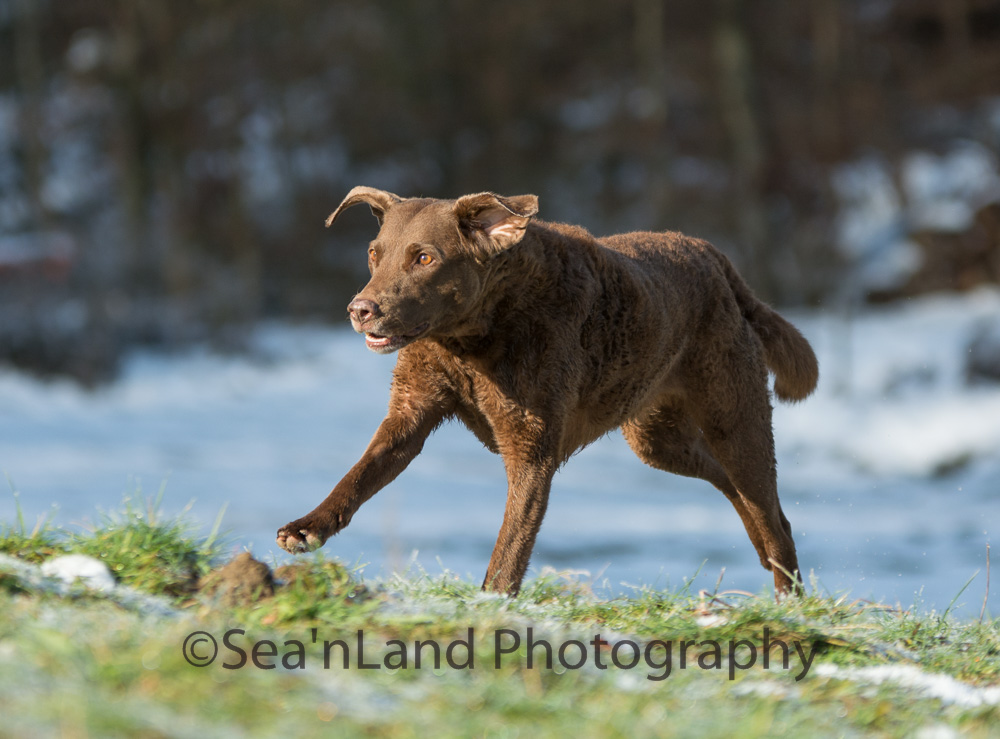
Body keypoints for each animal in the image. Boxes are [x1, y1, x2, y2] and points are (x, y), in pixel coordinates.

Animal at [276, 188, 820, 600]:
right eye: (375, 254)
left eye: (424, 257)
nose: (360, 309)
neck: (476, 334)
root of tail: (715, 259)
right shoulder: (411, 413)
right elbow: (360, 474)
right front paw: (308, 527)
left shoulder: (532, 448)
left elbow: (512, 545)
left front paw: (492, 605)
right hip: (656, 439)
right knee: (736, 490)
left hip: (735, 422)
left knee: (768, 509)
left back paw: (789, 599)